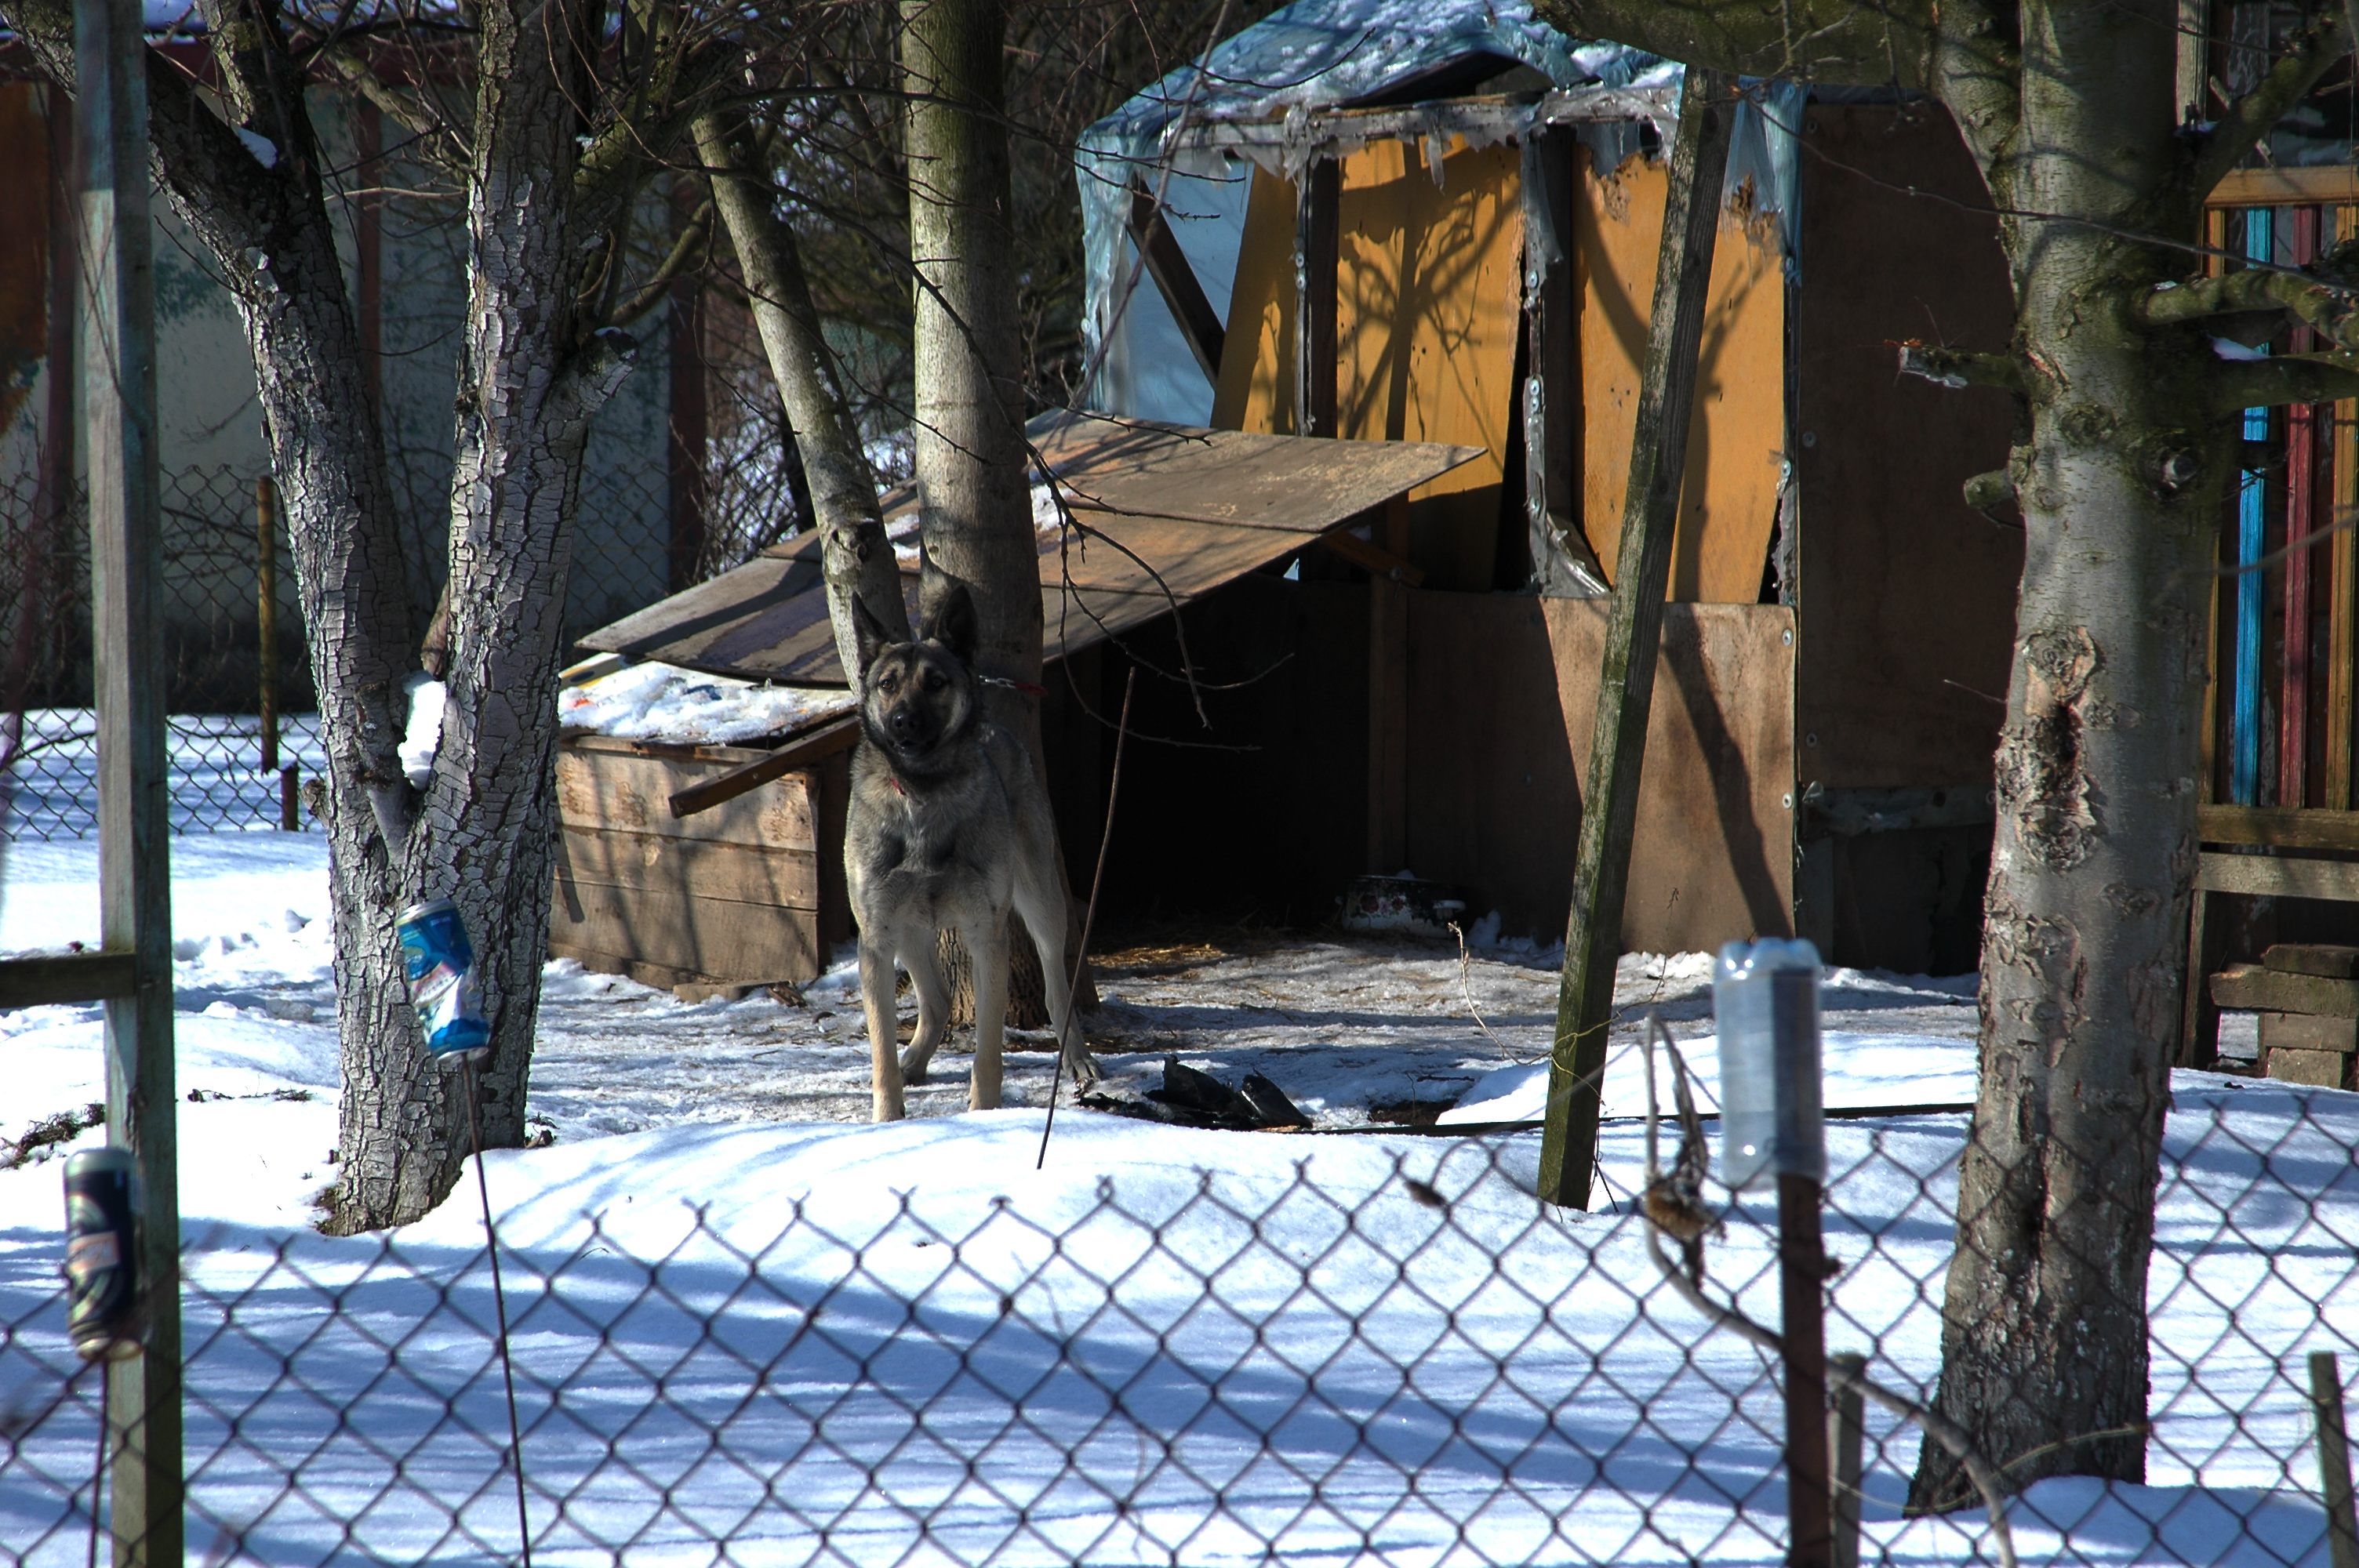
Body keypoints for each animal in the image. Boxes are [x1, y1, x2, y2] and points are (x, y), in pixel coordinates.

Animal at [839, 579, 1094, 1117]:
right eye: (887, 684)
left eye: (936, 683)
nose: (903, 722)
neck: (923, 794)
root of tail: (998, 730)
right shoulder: (875, 939)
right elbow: (881, 1052)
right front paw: (887, 1117)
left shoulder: (986, 936)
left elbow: (989, 1050)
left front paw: (983, 1117)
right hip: (906, 928)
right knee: (935, 1004)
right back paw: (913, 1063)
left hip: (1042, 903)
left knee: (1057, 991)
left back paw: (1079, 1061)